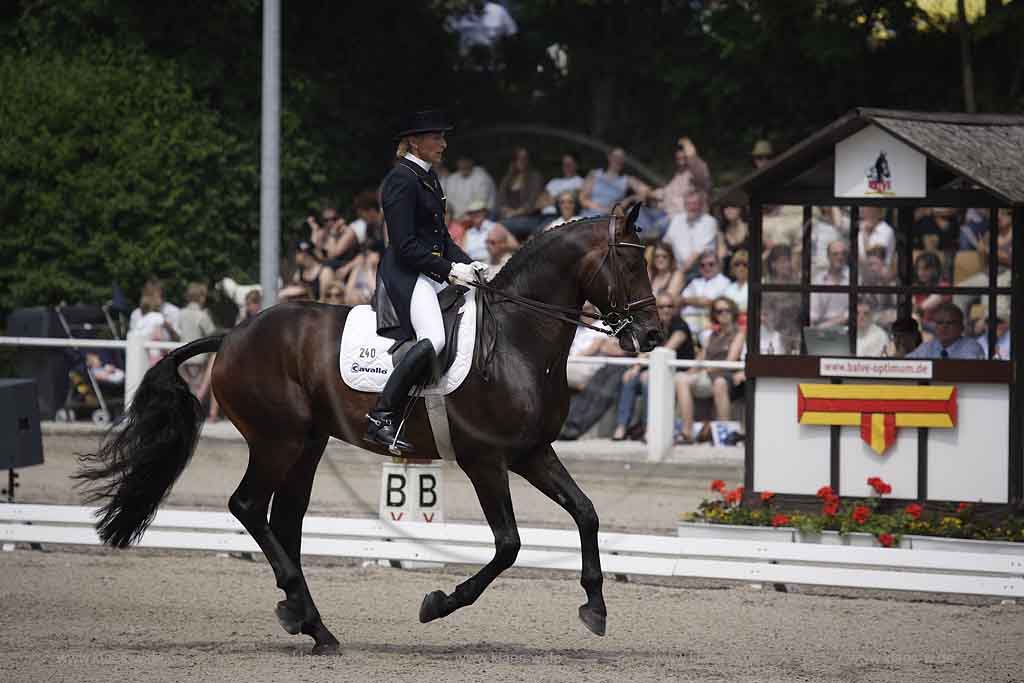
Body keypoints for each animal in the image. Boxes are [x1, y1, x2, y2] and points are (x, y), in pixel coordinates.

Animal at [74, 204, 663, 655]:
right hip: (277, 439)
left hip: (307, 444)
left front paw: (595, 607)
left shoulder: (532, 452)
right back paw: (305, 614)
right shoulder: (485, 461)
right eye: (632, 262)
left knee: (284, 520)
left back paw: (310, 623)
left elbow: (585, 512)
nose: (654, 335)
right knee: (248, 507)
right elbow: (509, 545)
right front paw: (437, 604)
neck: (518, 339)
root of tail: (234, 333)